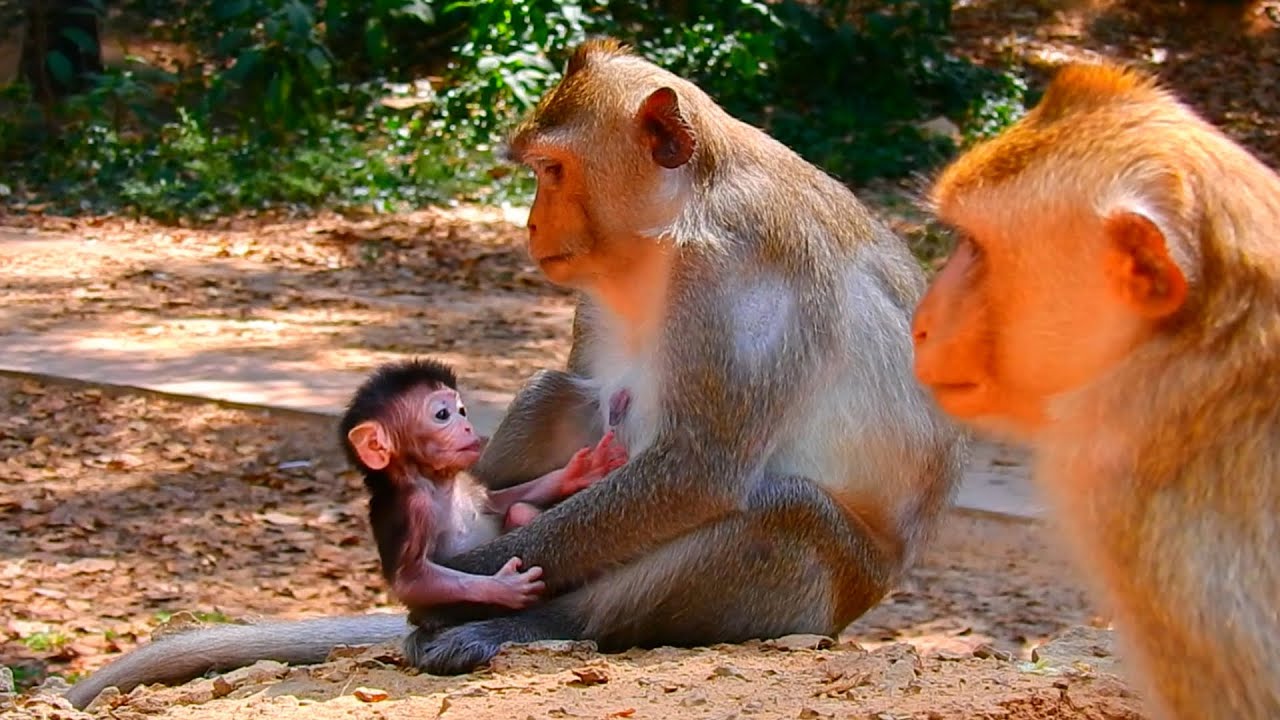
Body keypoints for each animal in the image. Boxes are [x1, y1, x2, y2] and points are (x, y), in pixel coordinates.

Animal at [339, 358, 628, 610]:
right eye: (442, 414)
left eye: (462, 411)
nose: (468, 428)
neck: (436, 482)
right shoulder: (413, 508)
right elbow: (411, 580)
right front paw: (504, 587)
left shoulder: (466, 481)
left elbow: (498, 501)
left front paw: (577, 472)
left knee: (519, 509)